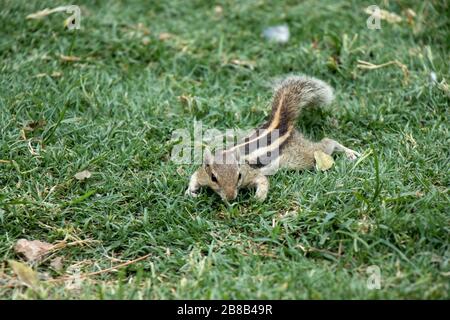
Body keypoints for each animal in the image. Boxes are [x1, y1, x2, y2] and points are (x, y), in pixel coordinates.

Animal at [185, 74, 360, 202]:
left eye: (239, 175)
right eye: (213, 178)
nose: (230, 198)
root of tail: (279, 126)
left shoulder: (252, 173)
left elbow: (263, 181)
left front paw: (257, 198)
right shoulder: (202, 173)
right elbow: (194, 176)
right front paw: (190, 192)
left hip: (302, 156)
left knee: (327, 143)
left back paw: (349, 153)